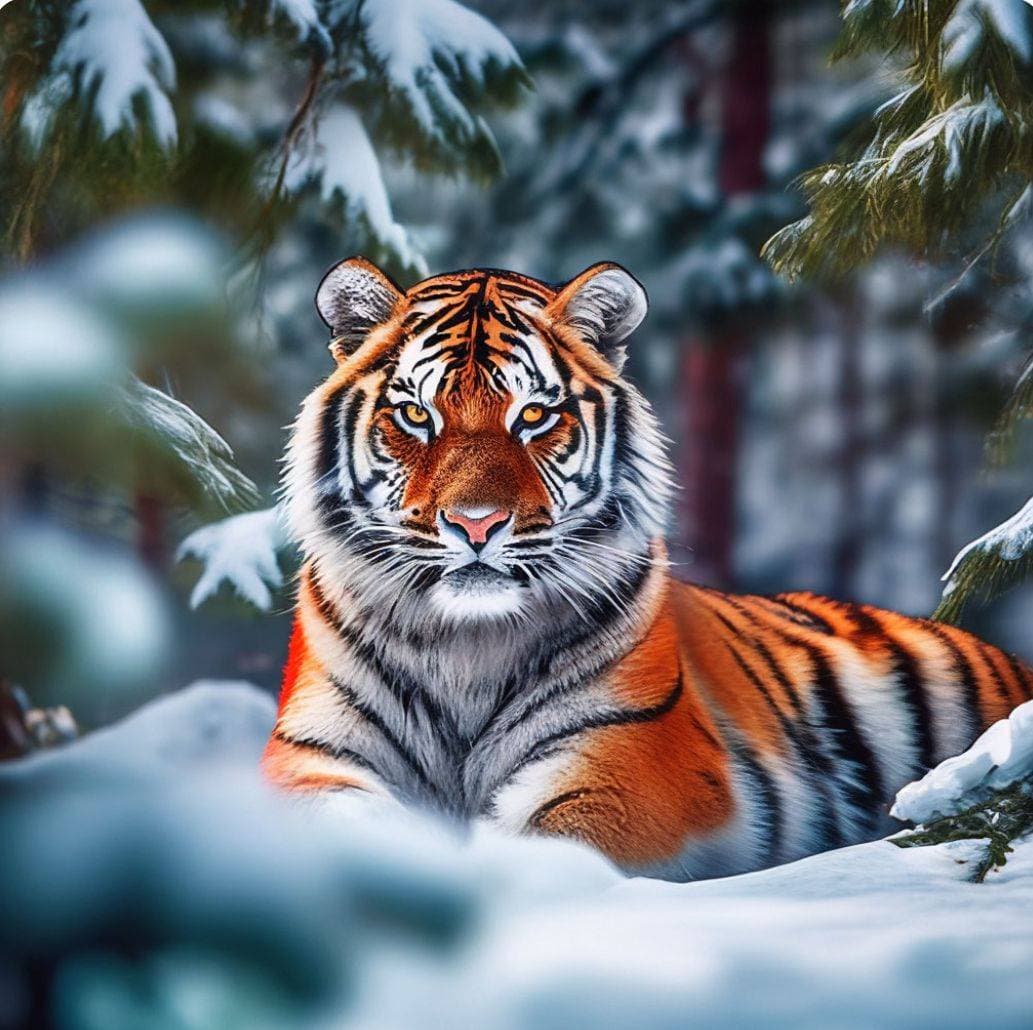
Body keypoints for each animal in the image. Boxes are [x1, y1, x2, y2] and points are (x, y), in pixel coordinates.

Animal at [262, 255, 1033, 881]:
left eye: (534, 416)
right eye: (416, 417)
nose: (475, 523)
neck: (466, 648)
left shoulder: (627, 763)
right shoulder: (310, 759)